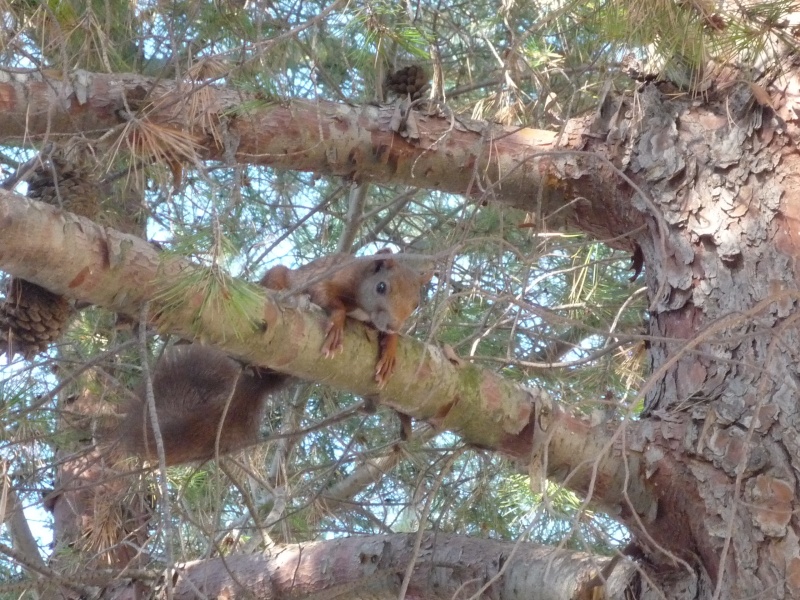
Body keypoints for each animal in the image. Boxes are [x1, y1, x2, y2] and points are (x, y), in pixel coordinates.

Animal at [116, 248, 428, 464]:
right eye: (381, 287)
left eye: (415, 304)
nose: (392, 324)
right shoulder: (334, 276)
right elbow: (326, 296)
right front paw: (338, 322)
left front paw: (391, 347)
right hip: (278, 278)